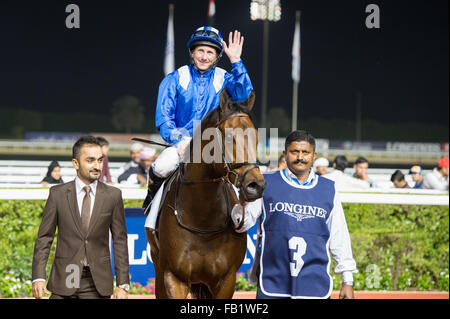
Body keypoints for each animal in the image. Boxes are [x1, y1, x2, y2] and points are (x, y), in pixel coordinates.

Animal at [146, 90, 266, 300]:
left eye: (256, 137)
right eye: (228, 137)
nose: (256, 186)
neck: (202, 219)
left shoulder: (227, 280)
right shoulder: (174, 277)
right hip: (158, 265)